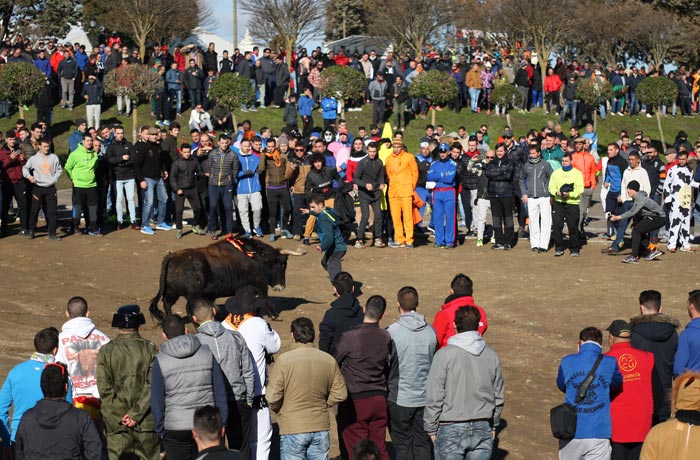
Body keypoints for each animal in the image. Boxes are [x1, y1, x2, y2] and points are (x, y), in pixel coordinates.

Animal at [150, 235, 304, 322]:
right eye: (282, 265)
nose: (282, 286)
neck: (257, 257)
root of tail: (172, 256)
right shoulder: (260, 285)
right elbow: (266, 300)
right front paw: (275, 316)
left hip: (172, 292)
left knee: (167, 303)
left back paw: (171, 320)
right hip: (193, 294)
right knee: (188, 308)